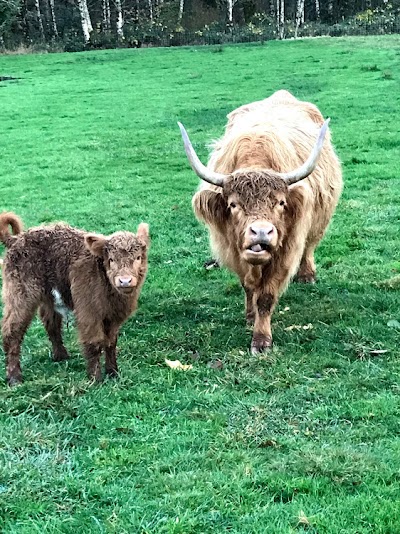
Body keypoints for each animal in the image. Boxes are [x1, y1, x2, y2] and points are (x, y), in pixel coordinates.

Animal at [0, 214, 150, 386]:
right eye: (111, 259)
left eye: (138, 257)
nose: (125, 281)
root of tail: (16, 239)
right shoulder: (88, 312)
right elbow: (94, 343)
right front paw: (95, 379)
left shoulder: (113, 317)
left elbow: (111, 343)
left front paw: (113, 373)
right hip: (20, 294)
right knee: (12, 331)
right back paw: (14, 378)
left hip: (48, 296)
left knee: (51, 322)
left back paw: (61, 356)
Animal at [180, 90, 342, 354]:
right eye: (233, 204)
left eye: (280, 203)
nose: (261, 233)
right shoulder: (233, 250)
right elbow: (248, 287)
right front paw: (249, 316)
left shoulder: (286, 251)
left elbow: (266, 296)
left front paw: (261, 340)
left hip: (319, 221)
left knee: (310, 245)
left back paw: (307, 275)